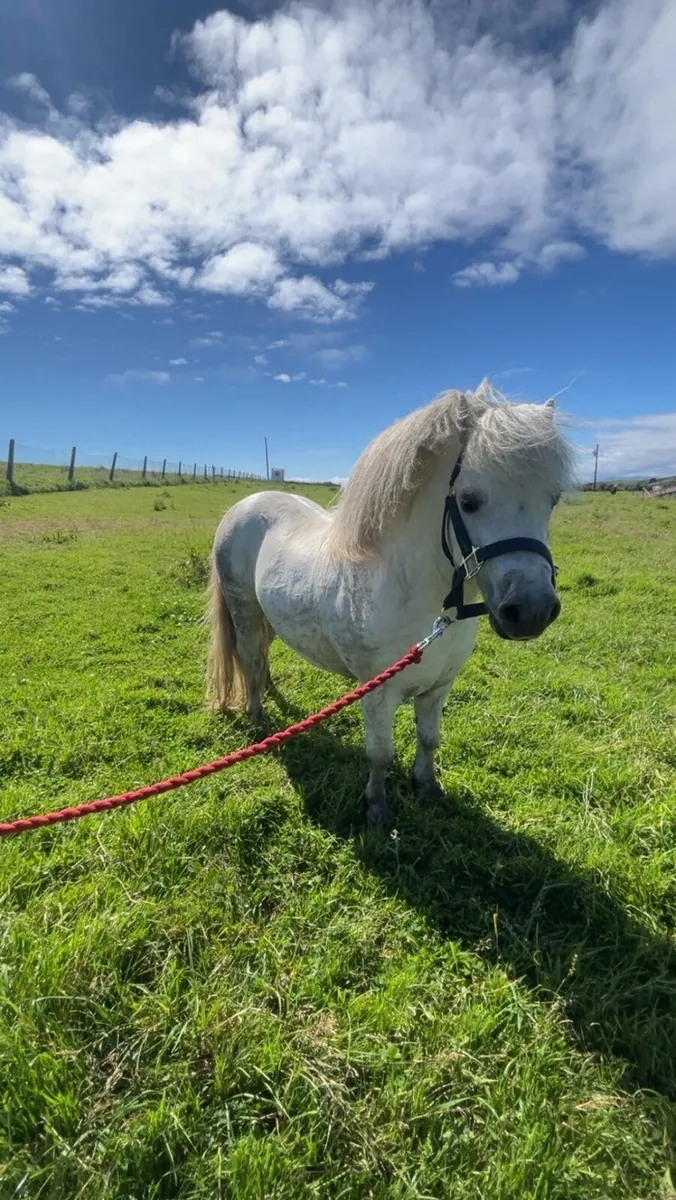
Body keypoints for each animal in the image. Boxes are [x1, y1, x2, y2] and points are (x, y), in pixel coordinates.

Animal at [206, 384, 575, 825]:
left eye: (552, 500)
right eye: (469, 501)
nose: (531, 611)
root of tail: (246, 504)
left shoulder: (438, 688)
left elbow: (429, 739)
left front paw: (426, 787)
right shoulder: (376, 695)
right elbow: (379, 753)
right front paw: (377, 808)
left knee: (263, 654)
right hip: (243, 608)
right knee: (248, 655)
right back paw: (257, 713)